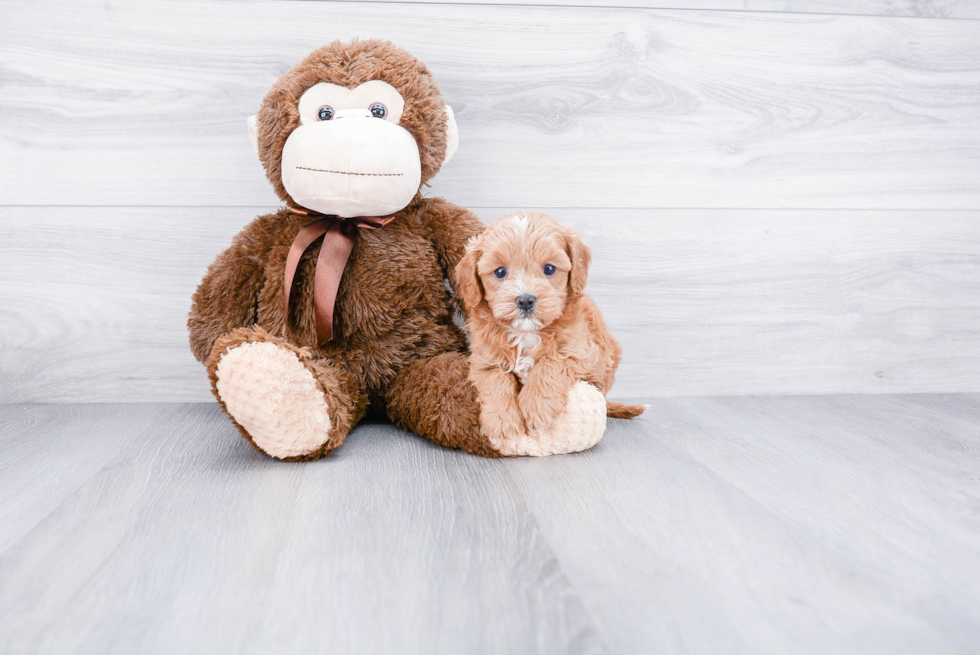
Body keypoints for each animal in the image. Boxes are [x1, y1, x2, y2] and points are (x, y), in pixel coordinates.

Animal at [456, 213, 648, 448]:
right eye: (500, 272)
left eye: (549, 269)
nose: (525, 300)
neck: (526, 333)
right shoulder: (483, 361)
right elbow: (495, 378)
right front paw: (503, 423)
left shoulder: (585, 355)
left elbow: (551, 362)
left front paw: (535, 407)